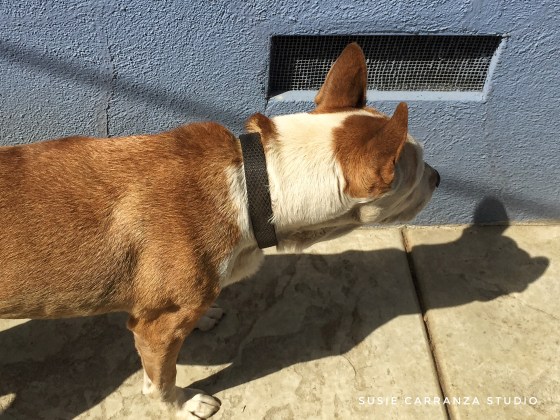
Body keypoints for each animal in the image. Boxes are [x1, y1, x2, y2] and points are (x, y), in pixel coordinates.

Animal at [0, 43, 439, 418]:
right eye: (414, 171)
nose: (437, 178)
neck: (255, 182)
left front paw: (206, 316)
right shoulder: (157, 329)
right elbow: (160, 381)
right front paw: (181, 405)